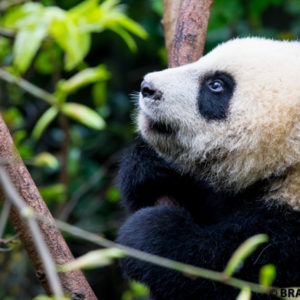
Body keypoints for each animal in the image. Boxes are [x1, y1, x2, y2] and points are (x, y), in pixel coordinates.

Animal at [116, 38, 300, 300]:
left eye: (216, 85)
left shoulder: (291, 236)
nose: (147, 87)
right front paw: (150, 165)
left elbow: (230, 273)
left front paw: (149, 234)